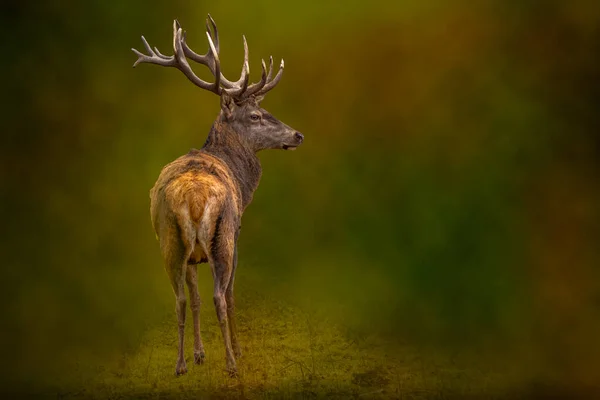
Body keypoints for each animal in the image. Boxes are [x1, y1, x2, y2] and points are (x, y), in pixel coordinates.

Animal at [130, 15, 300, 376]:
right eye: (255, 115)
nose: (298, 135)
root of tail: (194, 199)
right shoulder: (238, 234)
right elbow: (230, 296)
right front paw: (234, 350)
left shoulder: (193, 256)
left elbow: (193, 299)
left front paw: (199, 354)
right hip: (222, 238)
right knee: (221, 297)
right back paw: (232, 363)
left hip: (171, 242)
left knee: (180, 299)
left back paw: (180, 365)